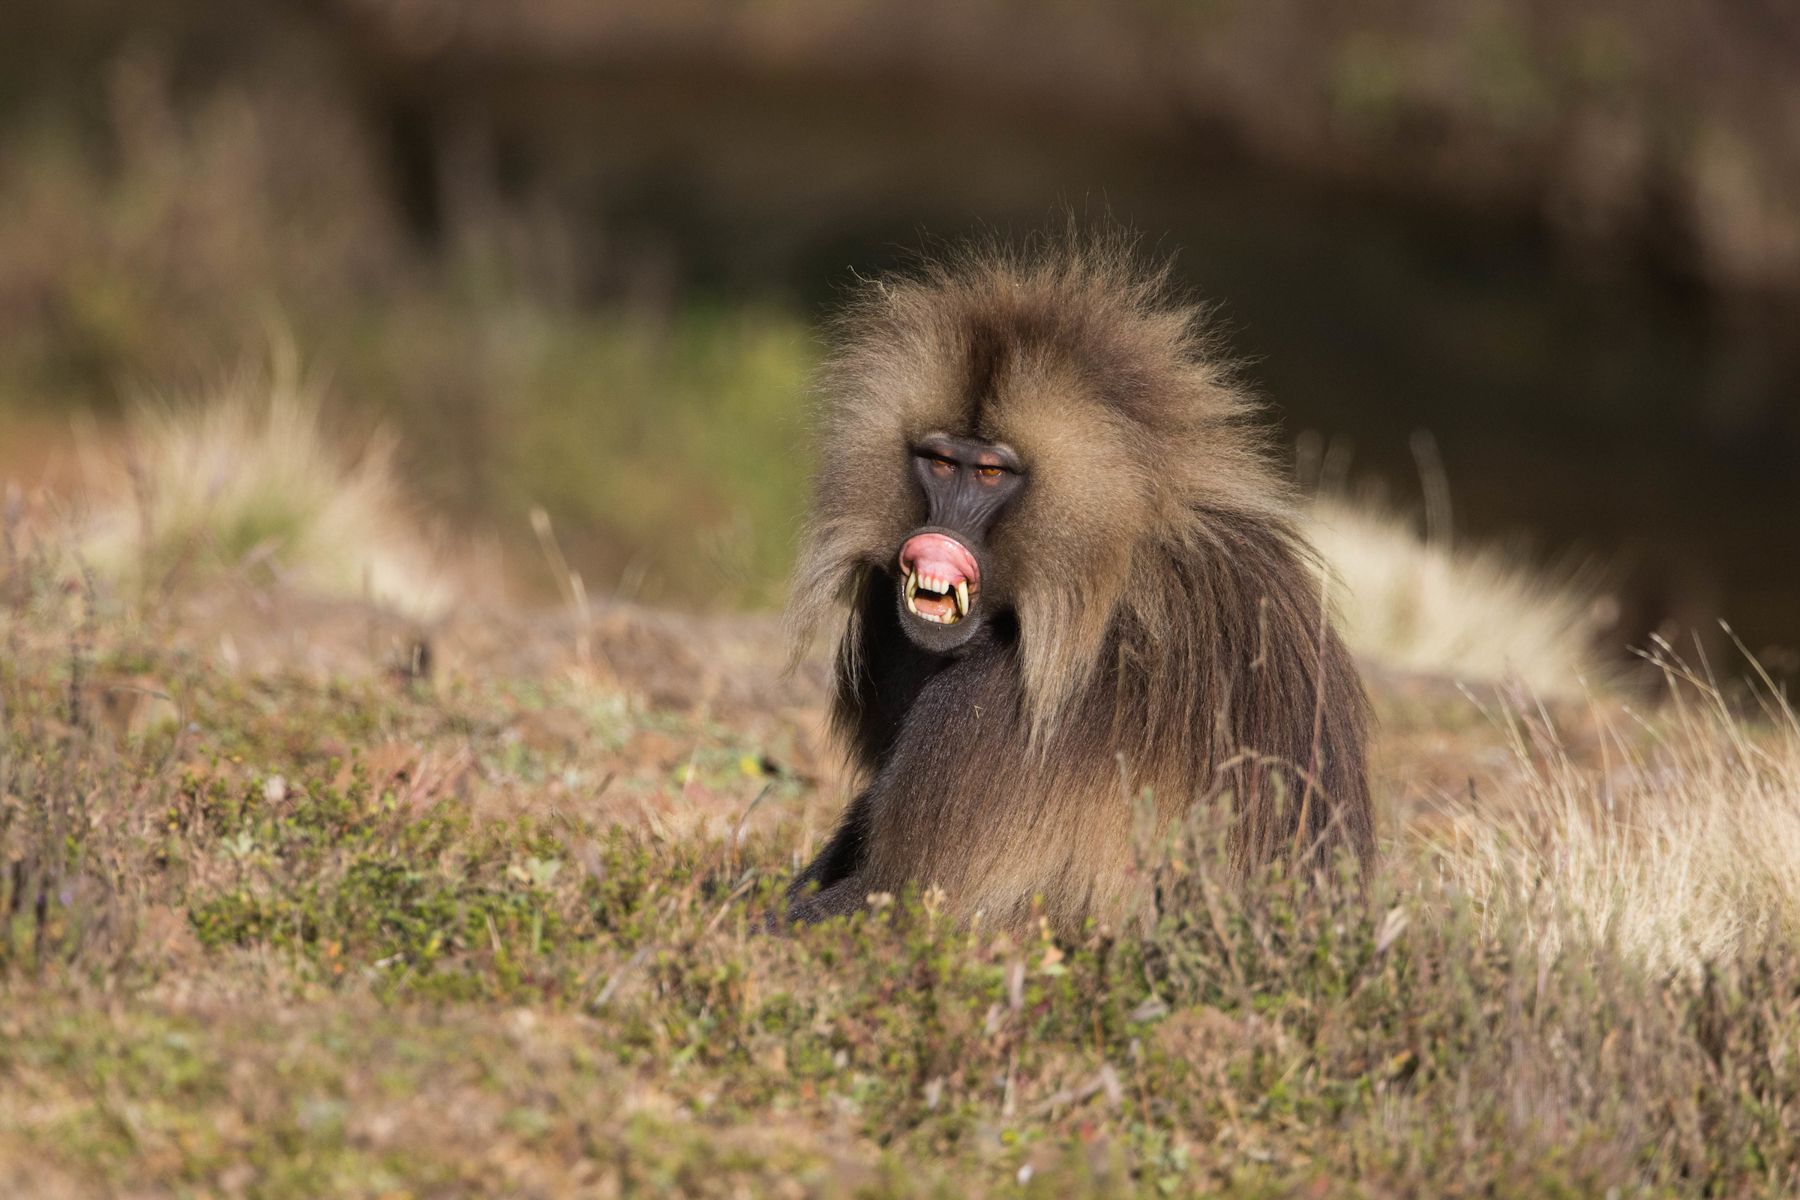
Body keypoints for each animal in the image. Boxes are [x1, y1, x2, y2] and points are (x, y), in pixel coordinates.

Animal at [781, 235, 1372, 938]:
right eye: (940, 462)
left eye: (990, 473)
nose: (938, 535)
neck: (1101, 569)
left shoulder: (996, 699)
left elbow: (898, 897)